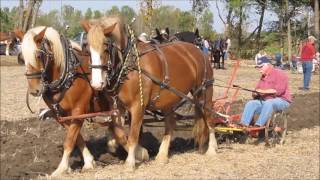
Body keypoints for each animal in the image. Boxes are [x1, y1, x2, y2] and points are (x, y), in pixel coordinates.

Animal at [14, 26, 144, 176]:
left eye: (38, 56)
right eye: (22, 58)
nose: (34, 90)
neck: (68, 75)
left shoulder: (78, 110)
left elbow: (69, 140)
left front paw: (61, 168)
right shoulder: (62, 115)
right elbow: (77, 139)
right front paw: (88, 162)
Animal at [81, 16, 219, 169]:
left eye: (106, 48)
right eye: (87, 49)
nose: (96, 83)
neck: (129, 65)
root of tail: (199, 53)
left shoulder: (138, 106)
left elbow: (133, 135)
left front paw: (131, 161)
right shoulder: (119, 107)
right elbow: (119, 133)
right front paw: (138, 153)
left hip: (204, 92)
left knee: (209, 117)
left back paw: (212, 149)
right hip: (170, 98)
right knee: (170, 123)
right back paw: (162, 155)